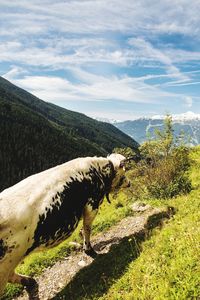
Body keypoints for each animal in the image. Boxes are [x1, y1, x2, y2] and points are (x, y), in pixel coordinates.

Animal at [0, 156, 130, 296]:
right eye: (124, 172)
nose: (129, 183)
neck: (98, 170)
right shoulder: (92, 204)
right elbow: (87, 228)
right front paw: (89, 250)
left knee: (11, 275)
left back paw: (30, 282)